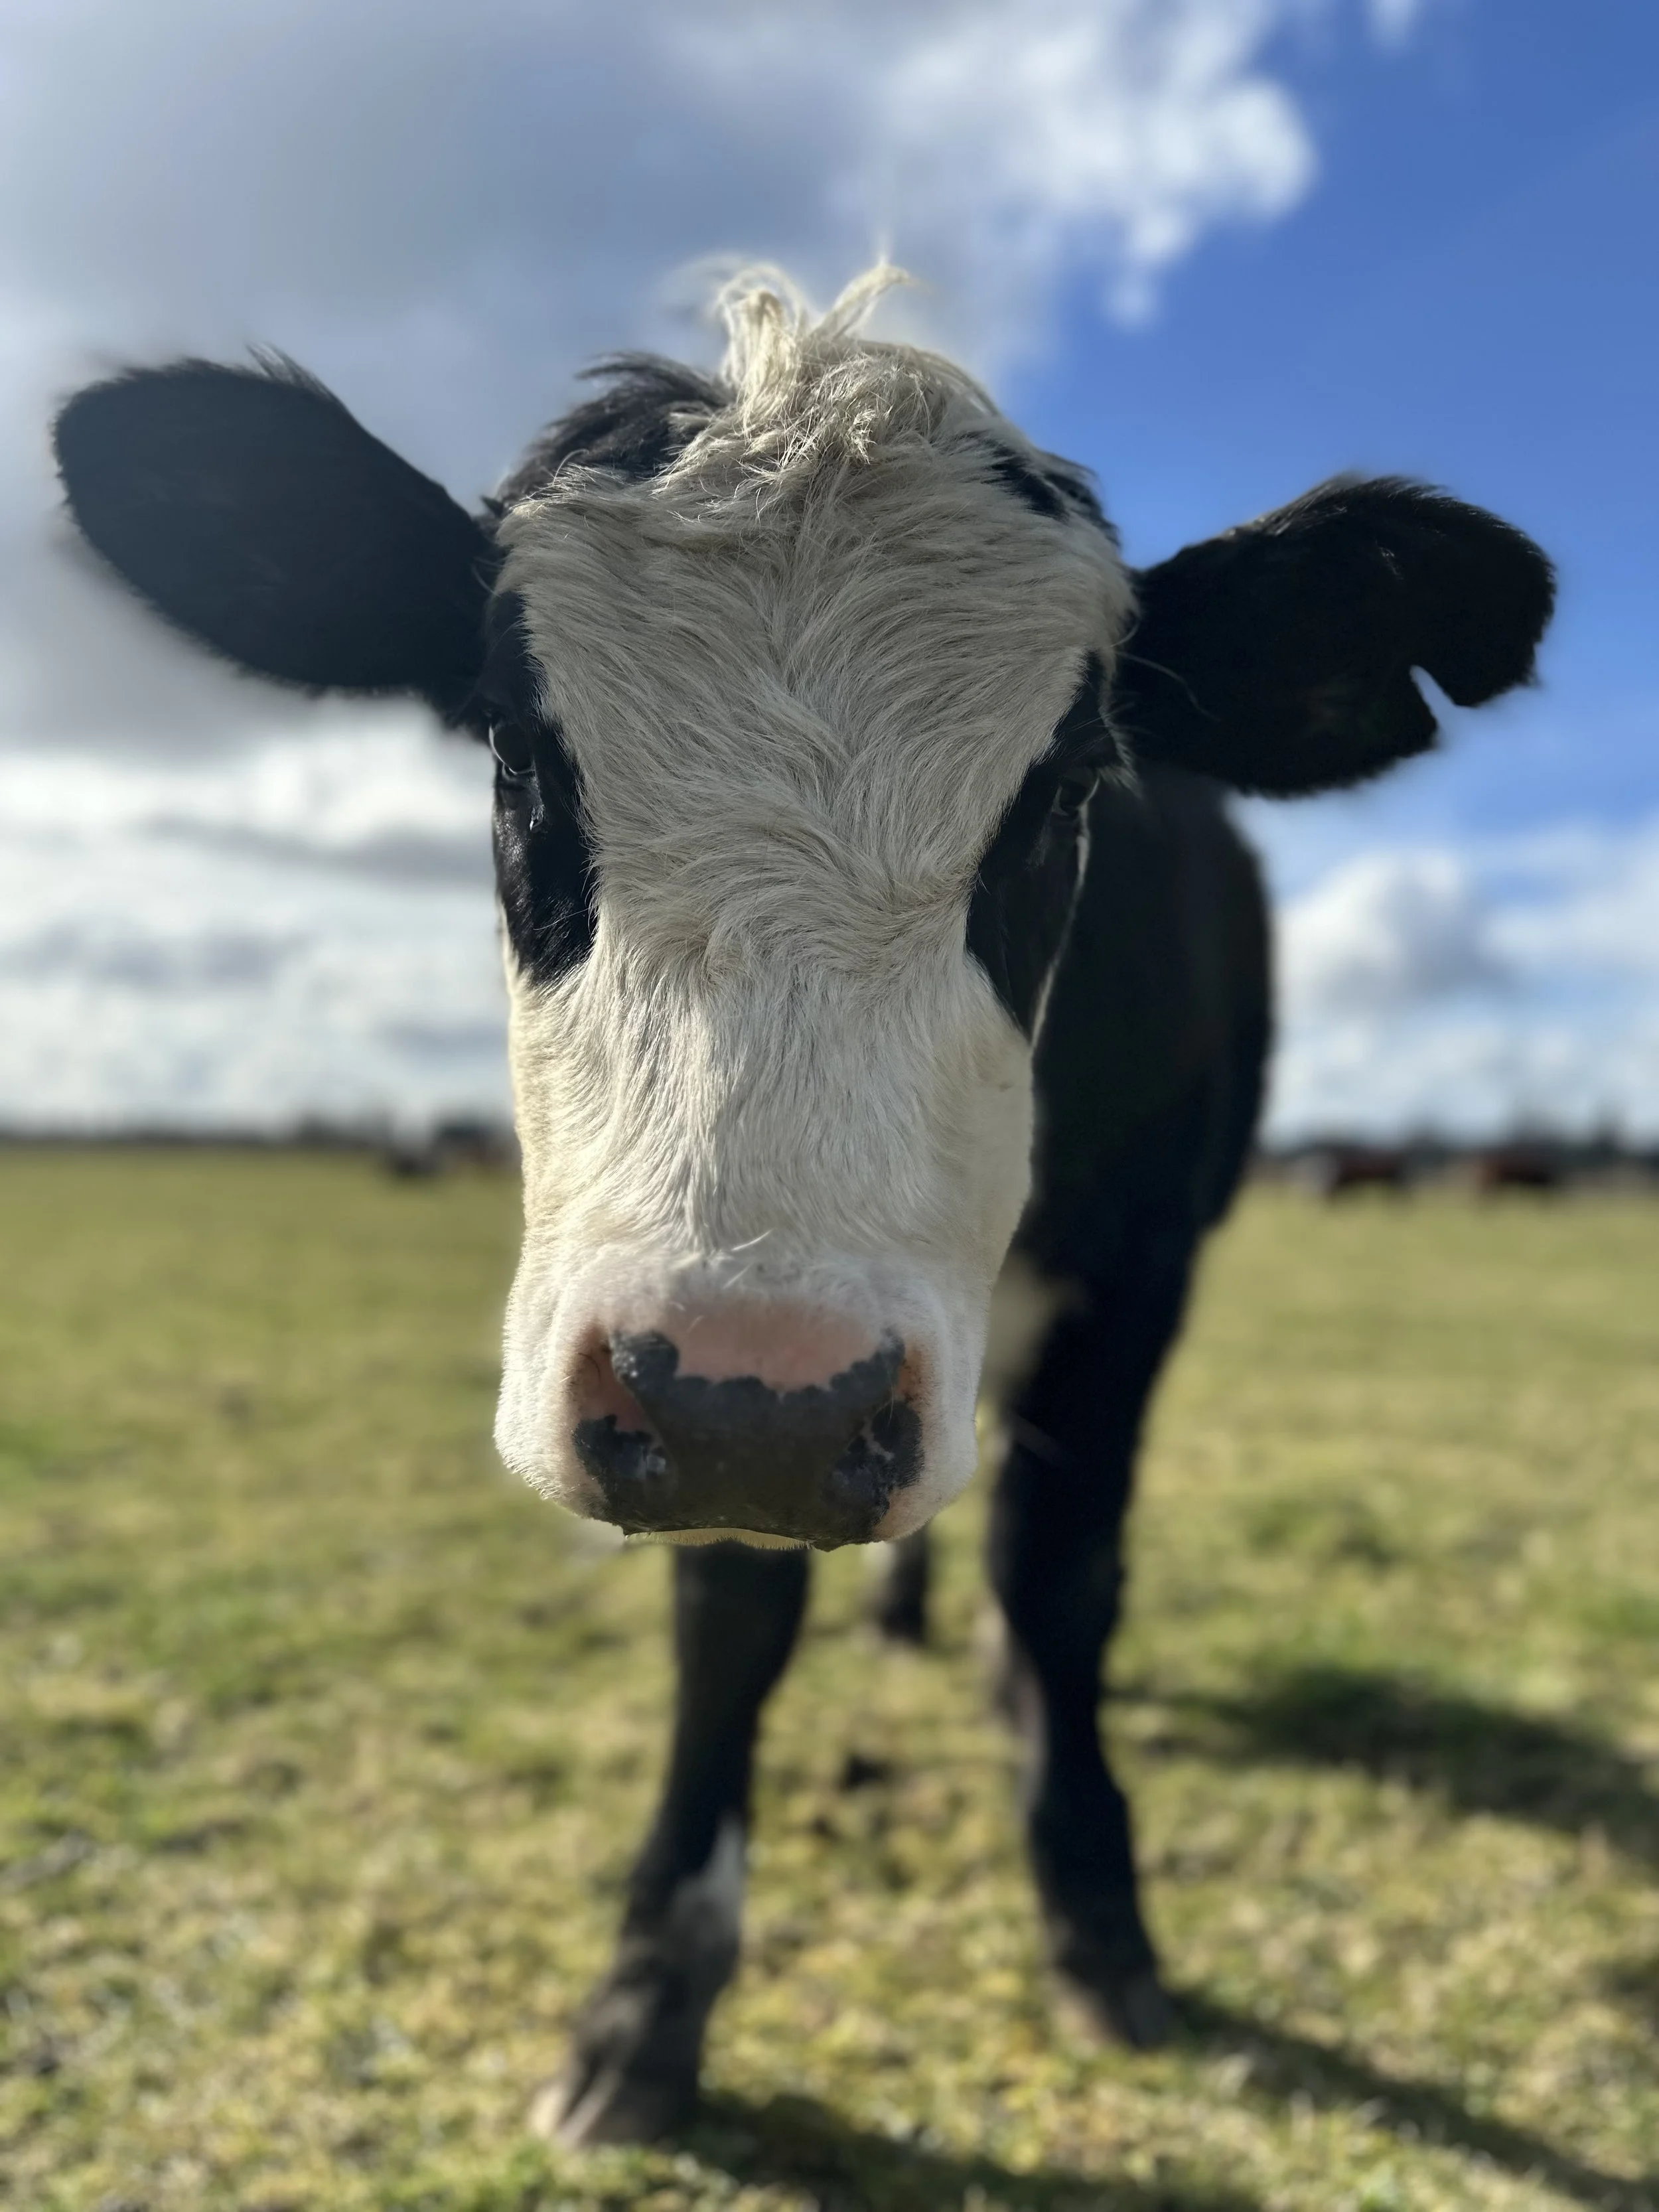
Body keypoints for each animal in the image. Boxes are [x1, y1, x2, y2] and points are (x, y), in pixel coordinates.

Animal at [52, 269, 1554, 2146]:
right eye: (518, 755)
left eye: (1072, 789)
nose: (763, 1398)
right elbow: (730, 1615)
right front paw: (649, 1995)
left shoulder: (1139, 1271)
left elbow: (1064, 1570)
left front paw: (1095, 1907)